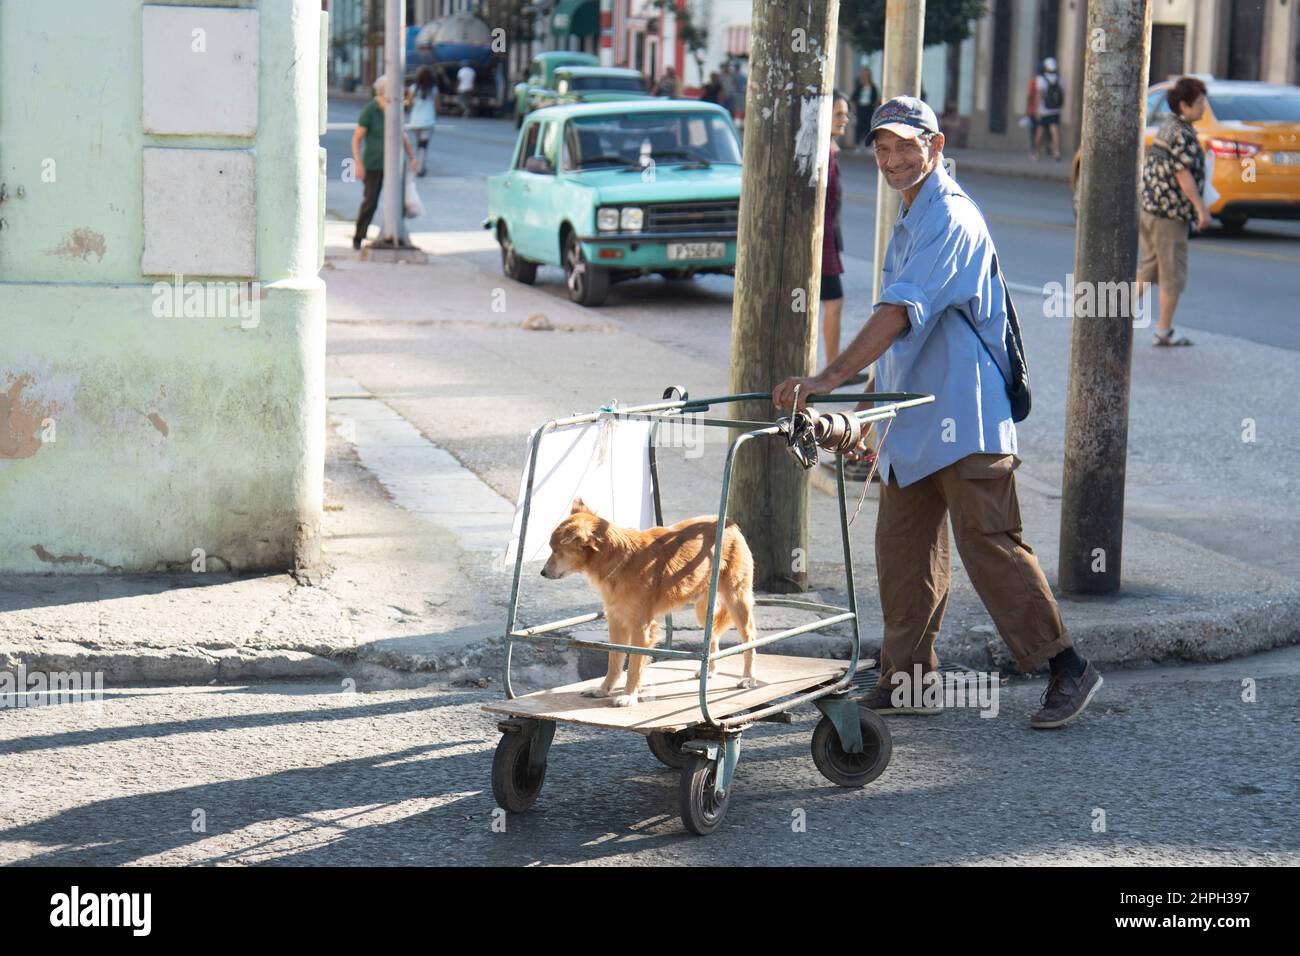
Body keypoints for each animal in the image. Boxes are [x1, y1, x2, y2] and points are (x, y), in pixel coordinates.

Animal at [540, 504, 759, 707]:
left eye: (556, 550)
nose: (542, 573)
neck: (619, 560)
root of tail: (729, 523)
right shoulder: (616, 622)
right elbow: (614, 661)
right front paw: (604, 690)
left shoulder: (640, 627)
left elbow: (634, 665)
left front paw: (629, 696)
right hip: (704, 609)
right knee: (712, 636)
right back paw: (710, 670)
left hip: (736, 599)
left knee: (749, 639)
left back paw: (748, 678)